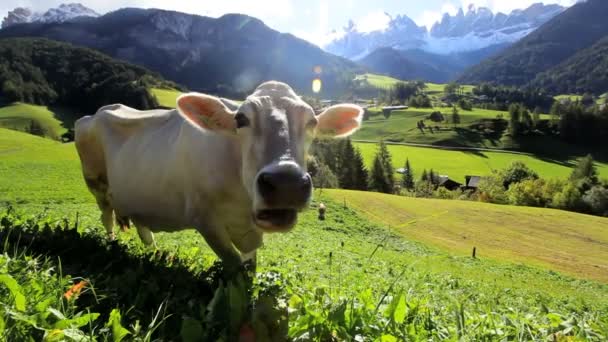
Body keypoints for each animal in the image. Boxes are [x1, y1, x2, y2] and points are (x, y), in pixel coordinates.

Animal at [75, 81, 360, 268]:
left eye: (312, 122)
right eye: (241, 119)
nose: (286, 183)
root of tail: (97, 112)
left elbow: (249, 265)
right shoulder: (204, 218)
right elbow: (234, 266)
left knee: (140, 223)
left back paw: (153, 251)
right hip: (95, 183)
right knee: (107, 217)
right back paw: (112, 246)